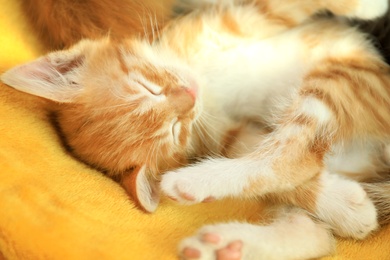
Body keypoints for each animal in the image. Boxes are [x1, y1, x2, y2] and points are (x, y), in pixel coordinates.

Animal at [2, 0, 390, 258]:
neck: (203, 77)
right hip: (349, 82)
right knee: (296, 162)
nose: (188, 97)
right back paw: (209, 219)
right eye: (177, 129)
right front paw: (344, 207)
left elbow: (283, 4)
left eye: (149, 88)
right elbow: (292, 170)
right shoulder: (227, 132)